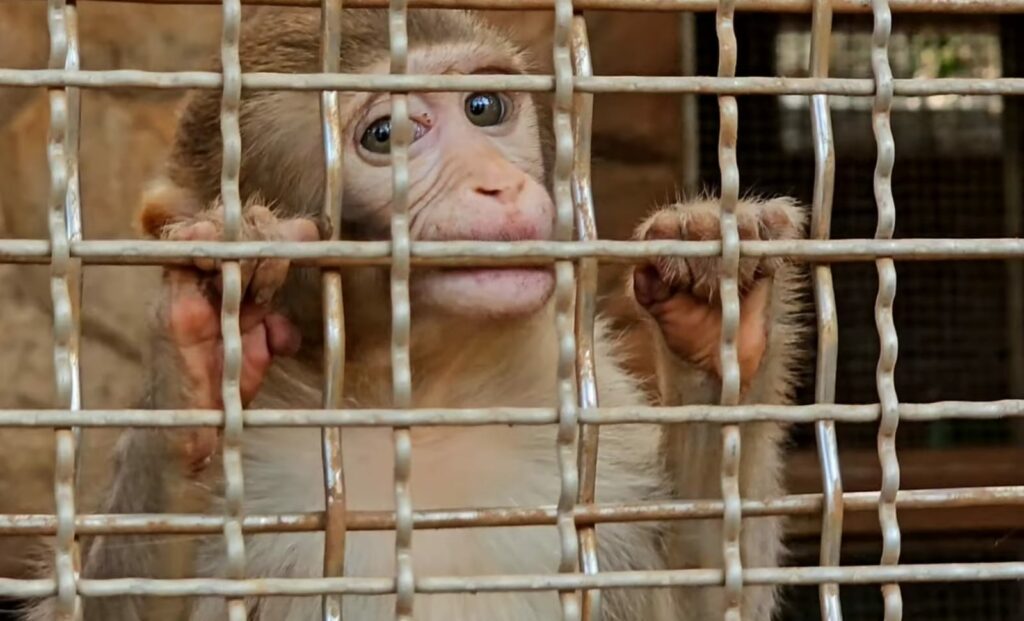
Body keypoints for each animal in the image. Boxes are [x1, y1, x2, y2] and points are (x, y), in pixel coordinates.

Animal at [22, 8, 806, 621]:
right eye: (386, 135)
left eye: (485, 108)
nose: (499, 184)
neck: (422, 389)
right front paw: (202, 350)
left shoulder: (603, 430)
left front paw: (716, 311)